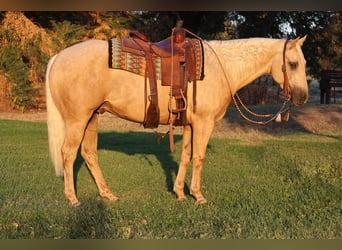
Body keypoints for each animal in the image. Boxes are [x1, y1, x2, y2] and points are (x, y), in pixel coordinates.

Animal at [46, 35, 310, 207]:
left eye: (304, 63)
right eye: (293, 64)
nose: (302, 97)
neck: (220, 67)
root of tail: (58, 56)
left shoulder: (190, 124)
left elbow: (186, 156)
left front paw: (180, 192)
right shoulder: (204, 123)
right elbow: (199, 157)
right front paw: (197, 195)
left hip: (92, 117)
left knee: (89, 154)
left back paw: (107, 194)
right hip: (78, 119)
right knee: (68, 153)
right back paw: (72, 198)